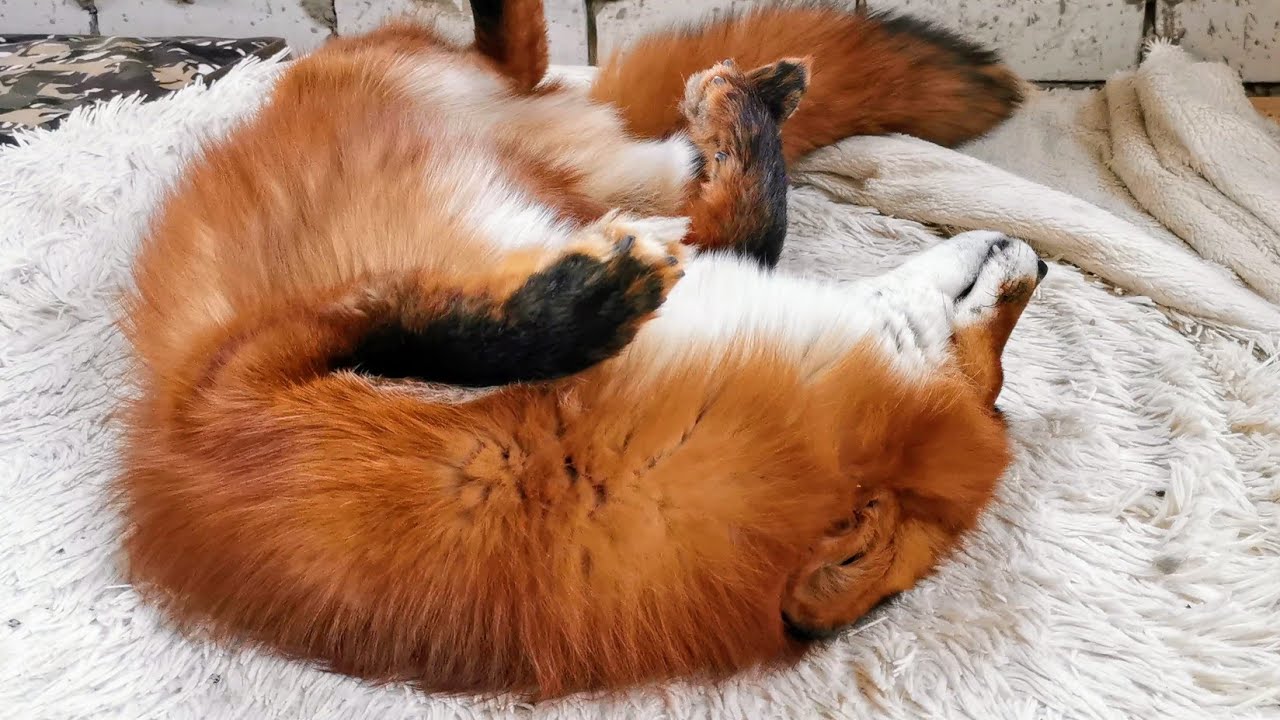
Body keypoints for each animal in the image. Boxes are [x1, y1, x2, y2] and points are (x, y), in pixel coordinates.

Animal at [116, 0, 1041, 701]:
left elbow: (443, 332)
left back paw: (729, 105)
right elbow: (752, 230)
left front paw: (588, 301)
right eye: (992, 374)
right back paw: (758, 94)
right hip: (578, 169)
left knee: (538, 70)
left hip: (598, 168)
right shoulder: (224, 401)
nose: (1035, 263)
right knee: (559, 84)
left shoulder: (224, 403)